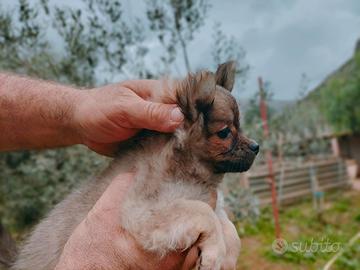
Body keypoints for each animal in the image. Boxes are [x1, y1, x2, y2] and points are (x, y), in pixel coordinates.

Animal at [11, 61, 258, 270]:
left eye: (240, 127)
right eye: (225, 133)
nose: (257, 146)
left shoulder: (214, 205)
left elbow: (228, 227)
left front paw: (228, 257)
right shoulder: (144, 211)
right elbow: (203, 212)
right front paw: (215, 254)